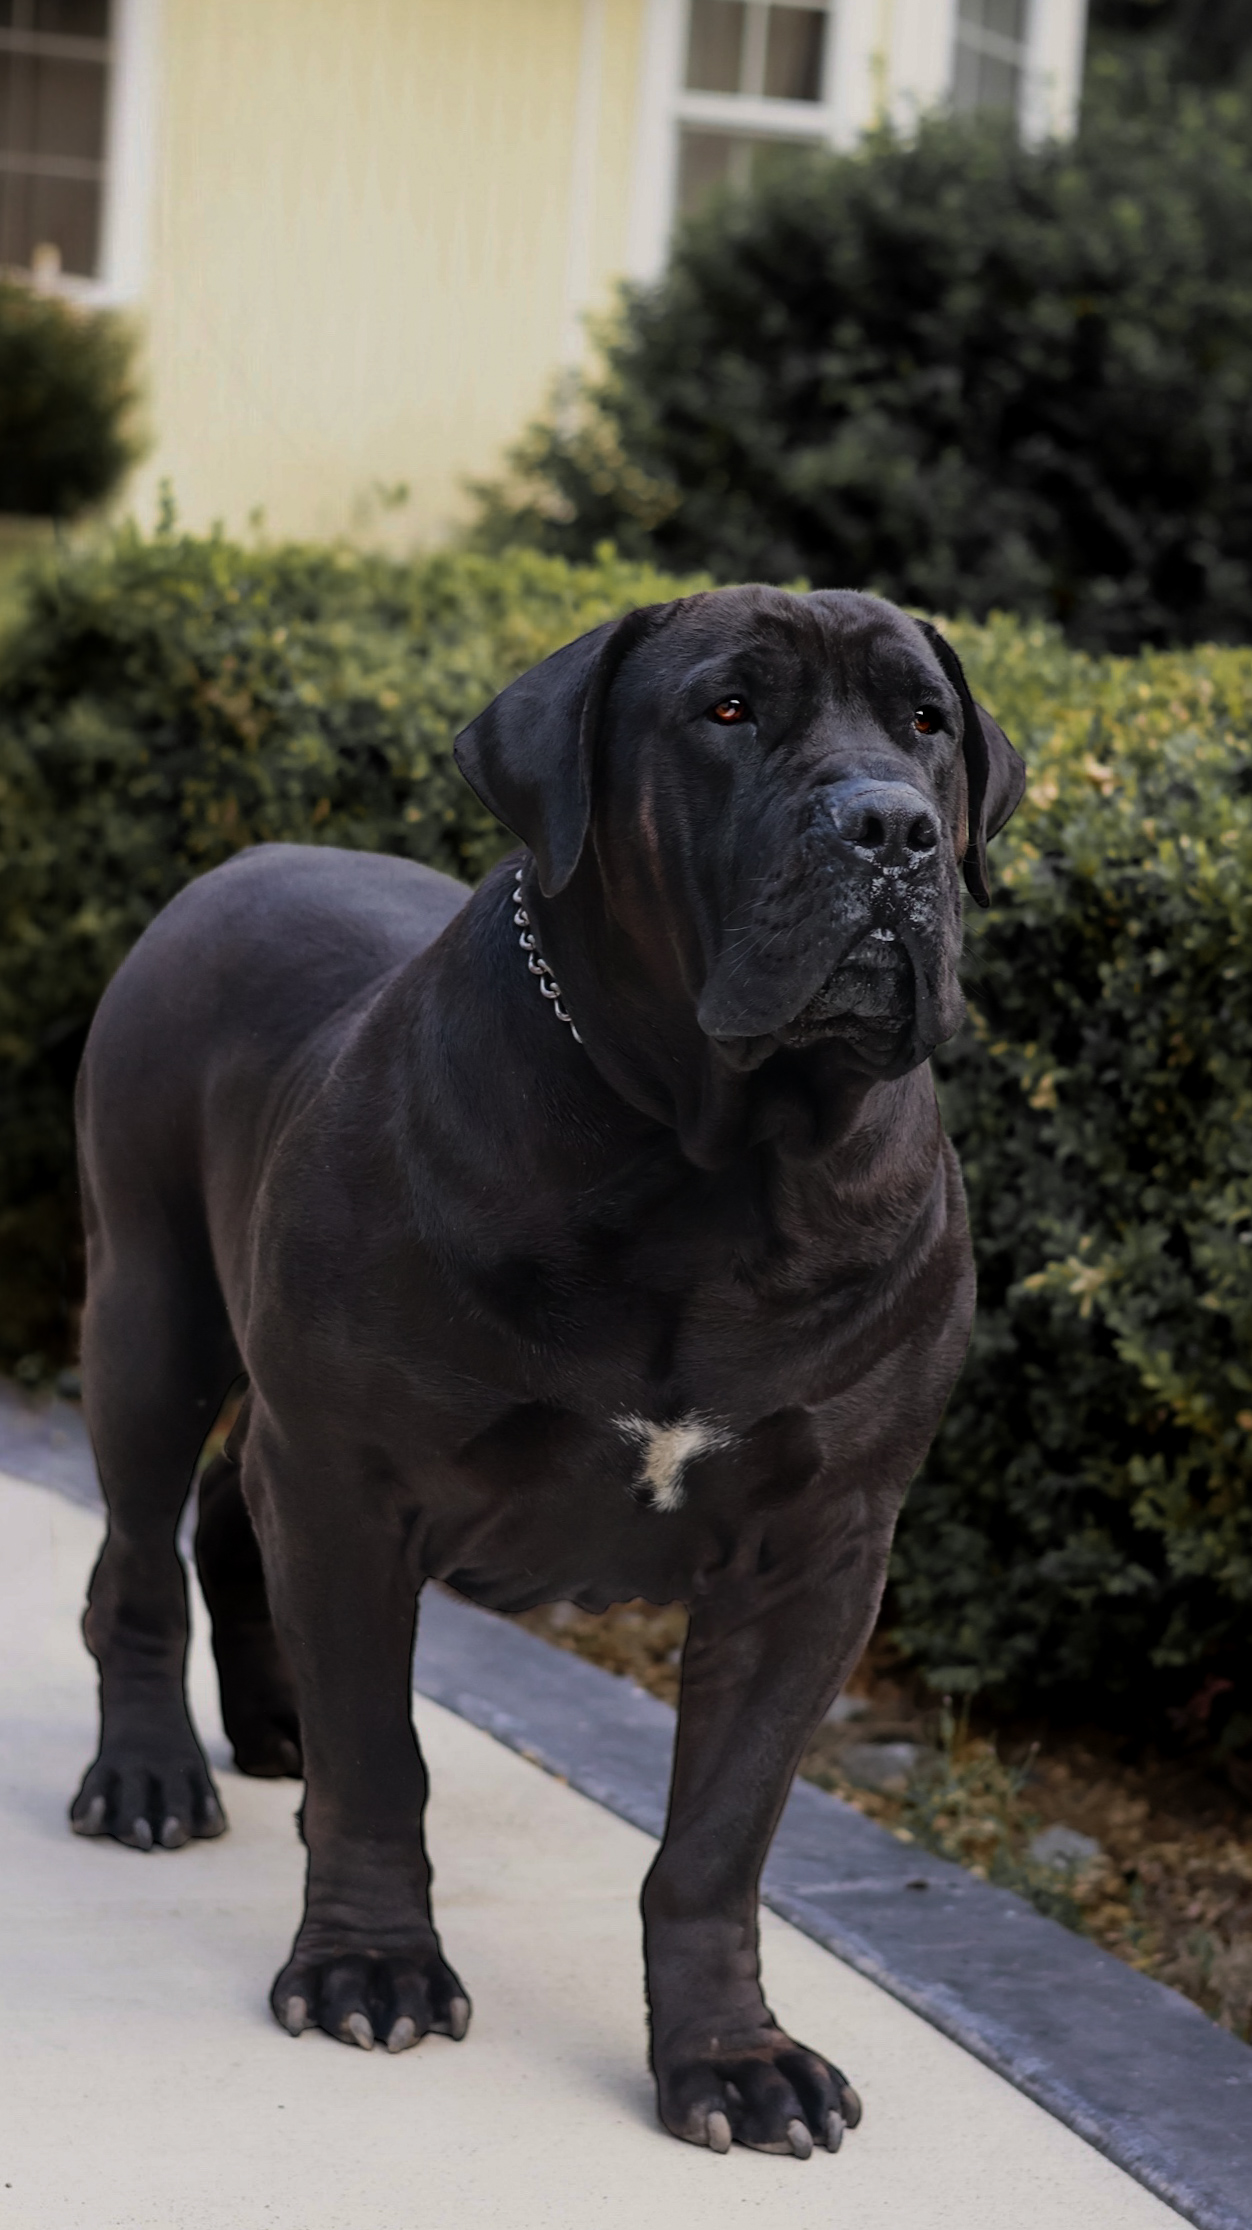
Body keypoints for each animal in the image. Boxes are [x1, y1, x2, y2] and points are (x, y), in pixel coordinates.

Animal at [70, 584, 1023, 2158]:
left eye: (926, 722)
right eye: (726, 710)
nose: (887, 826)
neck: (720, 1159)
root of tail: (251, 855)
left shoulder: (818, 1550)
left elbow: (718, 1836)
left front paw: (733, 2053)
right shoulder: (353, 1479)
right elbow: (384, 1759)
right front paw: (370, 1962)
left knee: (231, 1524)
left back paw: (272, 1724)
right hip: (149, 1314)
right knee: (141, 1555)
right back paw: (150, 1773)